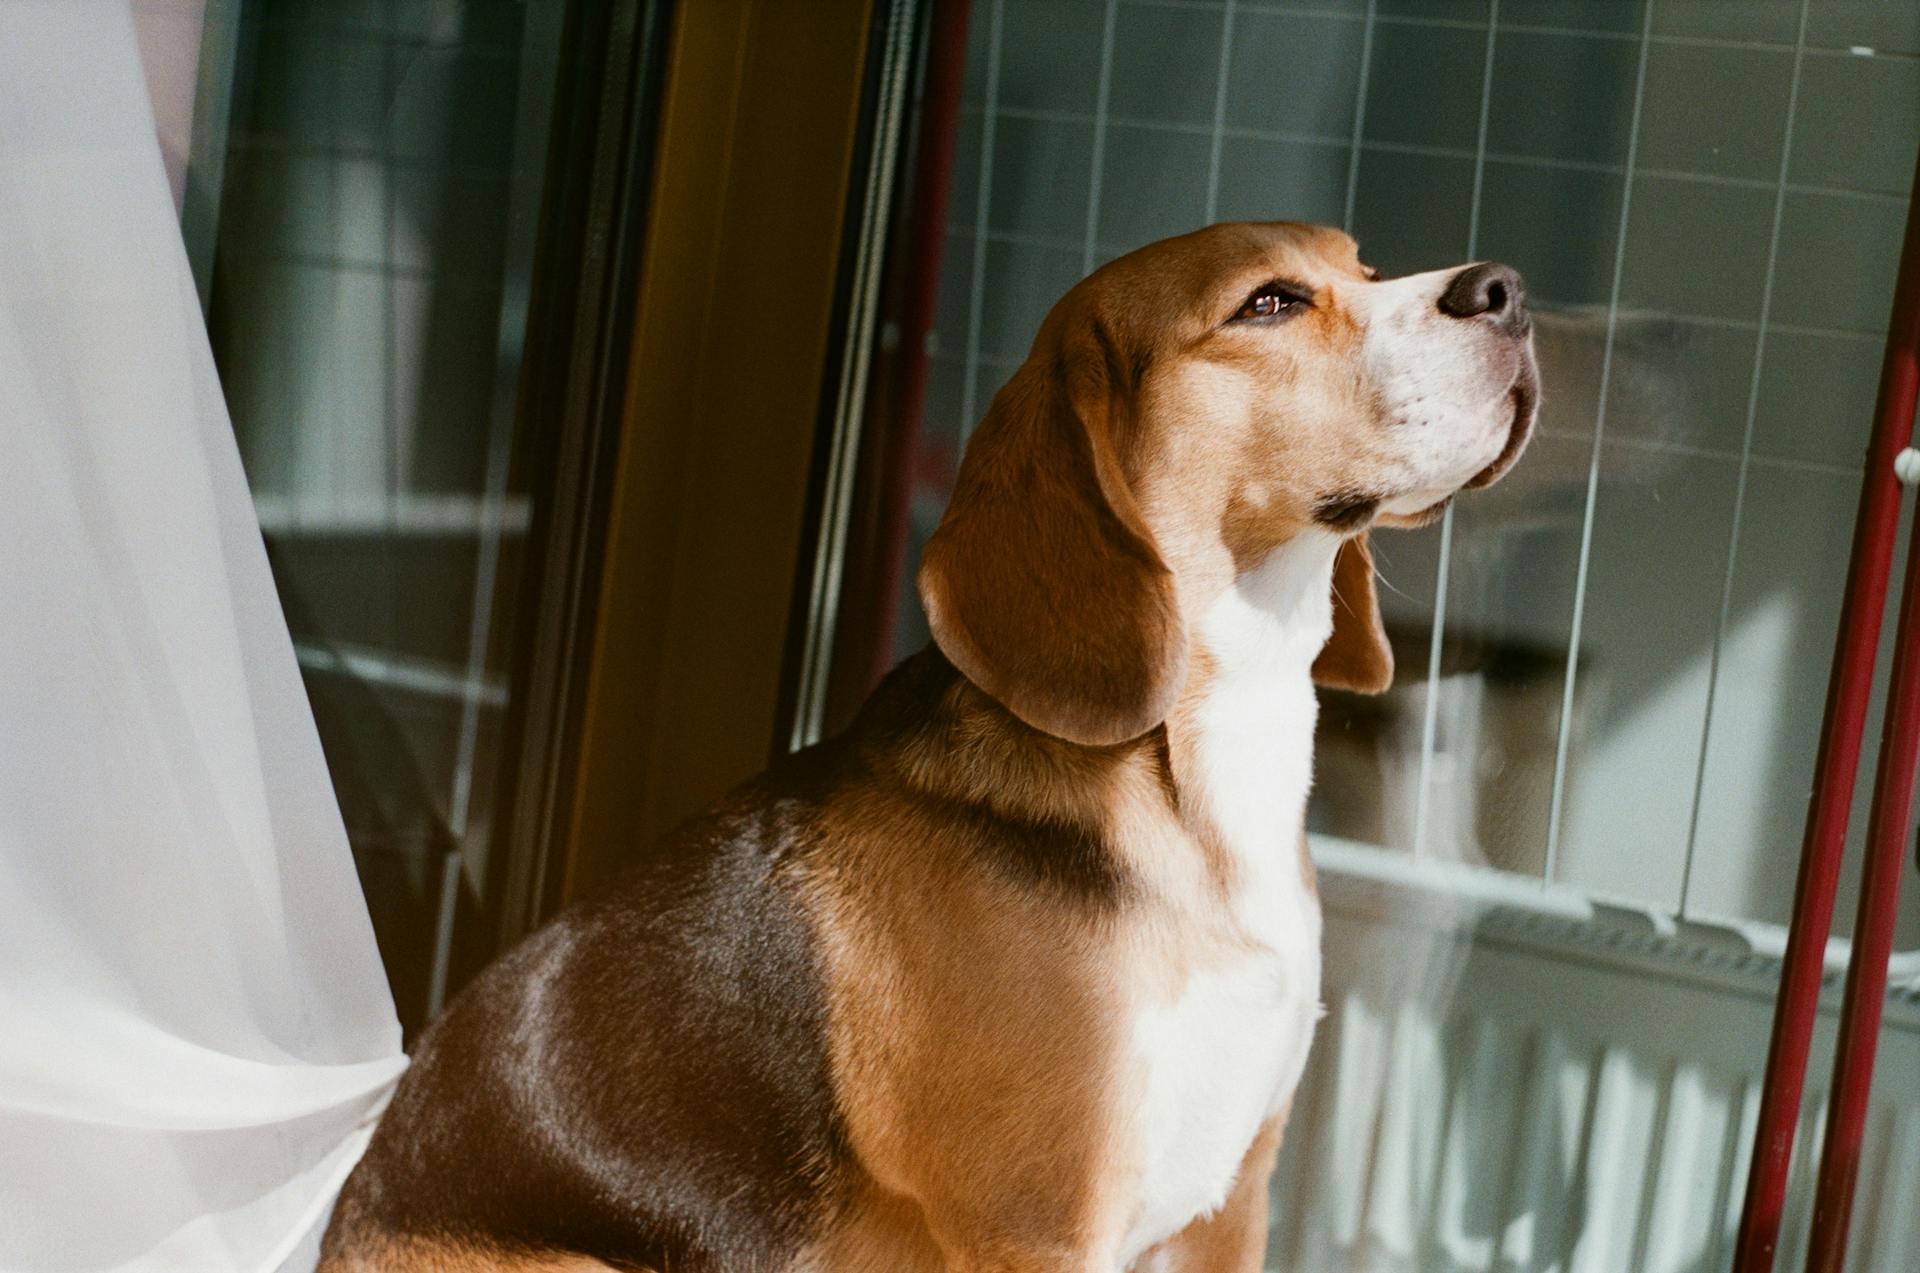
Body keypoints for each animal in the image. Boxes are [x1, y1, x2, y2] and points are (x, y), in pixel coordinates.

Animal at [322, 221, 1536, 1273]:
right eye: (1270, 302)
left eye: (1363, 267)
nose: (1508, 288)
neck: (1198, 774)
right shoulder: (1040, 1227)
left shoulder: (1229, 1209)